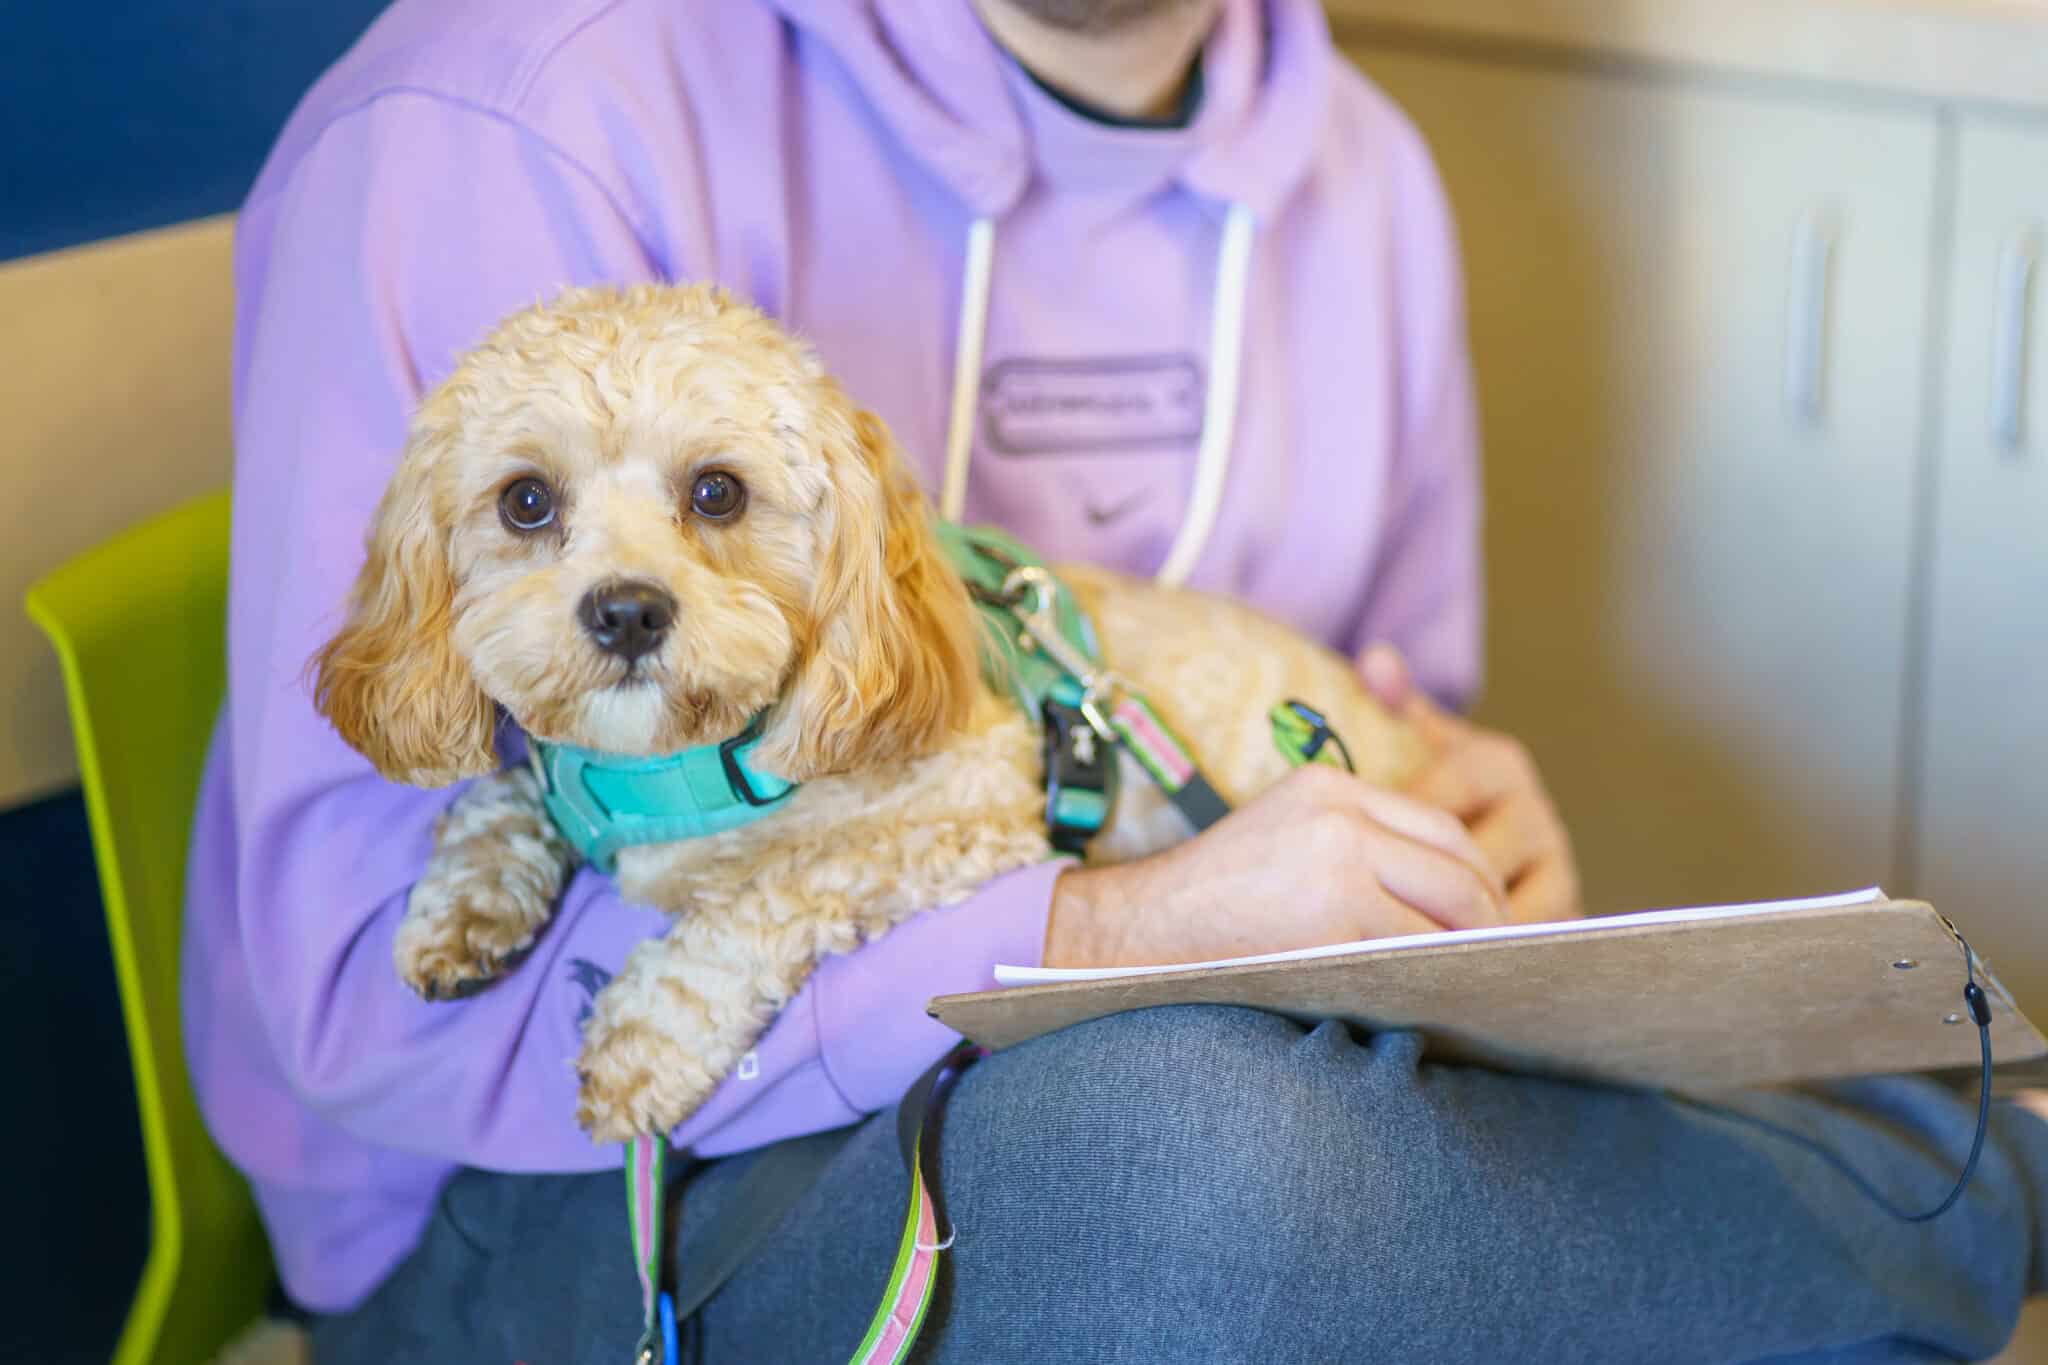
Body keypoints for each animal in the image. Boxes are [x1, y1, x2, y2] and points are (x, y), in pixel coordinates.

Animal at [315, 286, 1425, 1146]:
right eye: (526, 502)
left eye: (716, 492)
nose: (627, 611)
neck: (672, 768)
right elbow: (498, 791)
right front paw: (465, 905)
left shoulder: (964, 807)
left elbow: (767, 887)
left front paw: (645, 1037)